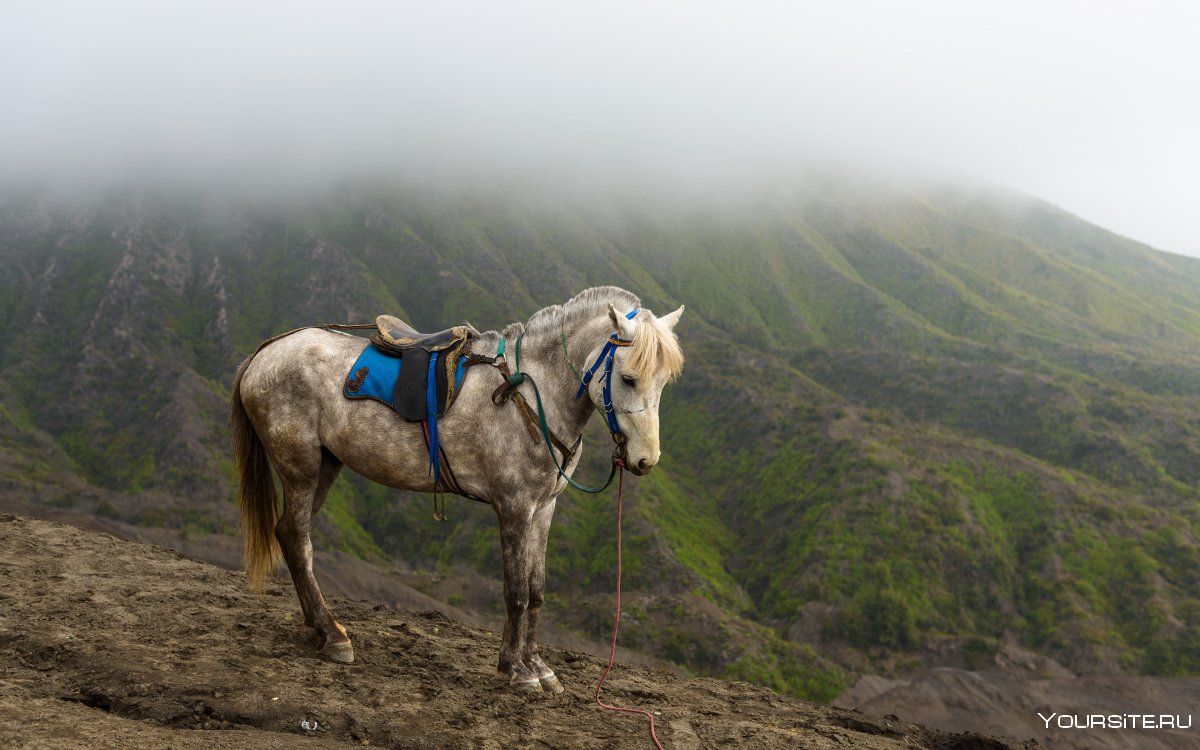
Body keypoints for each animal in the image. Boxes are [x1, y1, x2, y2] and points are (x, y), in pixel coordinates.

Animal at [229, 285, 686, 691]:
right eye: (628, 378)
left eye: (664, 381)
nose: (645, 460)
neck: (529, 392)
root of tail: (263, 353)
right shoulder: (514, 507)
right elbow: (516, 592)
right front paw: (517, 671)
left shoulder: (544, 508)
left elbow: (536, 590)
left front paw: (538, 666)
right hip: (301, 468)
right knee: (298, 540)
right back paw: (333, 635)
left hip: (326, 466)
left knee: (290, 535)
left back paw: (317, 626)